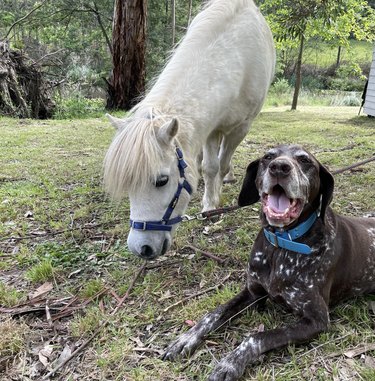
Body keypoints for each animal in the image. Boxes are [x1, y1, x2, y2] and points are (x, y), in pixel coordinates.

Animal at [104, 0, 274, 258]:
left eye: (162, 181)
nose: (141, 248)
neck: (236, 59)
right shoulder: (210, 128)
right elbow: (209, 166)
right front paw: (210, 199)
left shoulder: (240, 127)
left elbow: (219, 165)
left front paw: (212, 201)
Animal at [164, 143, 375, 380]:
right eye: (268, 157)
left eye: (305, 160)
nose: (279, 167)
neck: (280, 245)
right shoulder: (253, 291)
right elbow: (214, 313)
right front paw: (187, 338)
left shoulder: (317, 319)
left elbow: (257, 337)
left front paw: (230, 363)